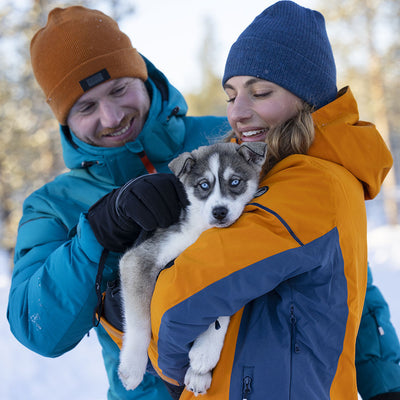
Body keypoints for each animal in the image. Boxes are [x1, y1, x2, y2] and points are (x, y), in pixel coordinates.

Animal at [117, 141, 268, 394]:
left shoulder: (229, 266)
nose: (219, 212)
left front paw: (203, 358)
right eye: (204, 185)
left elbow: (218, 301)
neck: (202, 230)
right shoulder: (139, 258)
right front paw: (132, 367)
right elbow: (140, 321)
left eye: (235, 182)